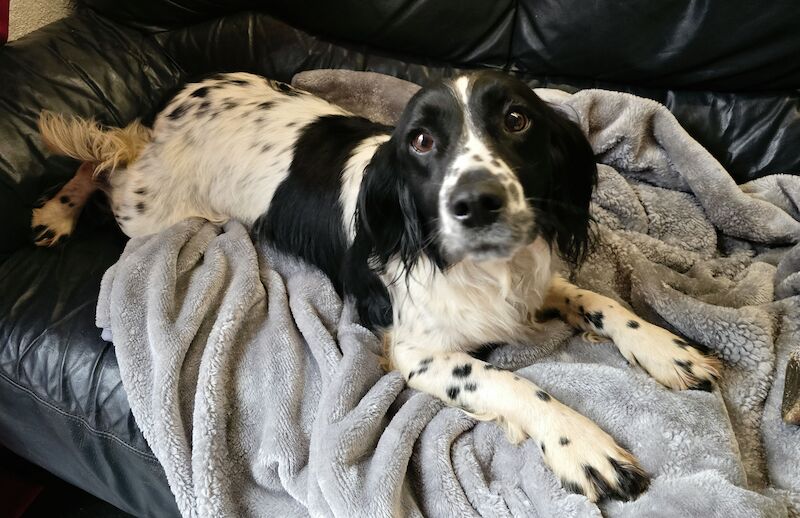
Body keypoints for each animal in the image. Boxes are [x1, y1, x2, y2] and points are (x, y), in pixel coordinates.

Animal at [31, 70, 720, 504]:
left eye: (517, 119)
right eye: (421, 140)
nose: (478, 203)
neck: (478, 268)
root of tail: (176, 98)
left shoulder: (524, 285)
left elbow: (600, 301)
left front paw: (667, 350)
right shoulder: (413, 351)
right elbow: (512, 382)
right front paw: (584, 445)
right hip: (149, 209)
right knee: (101, 156)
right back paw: (57, 212)